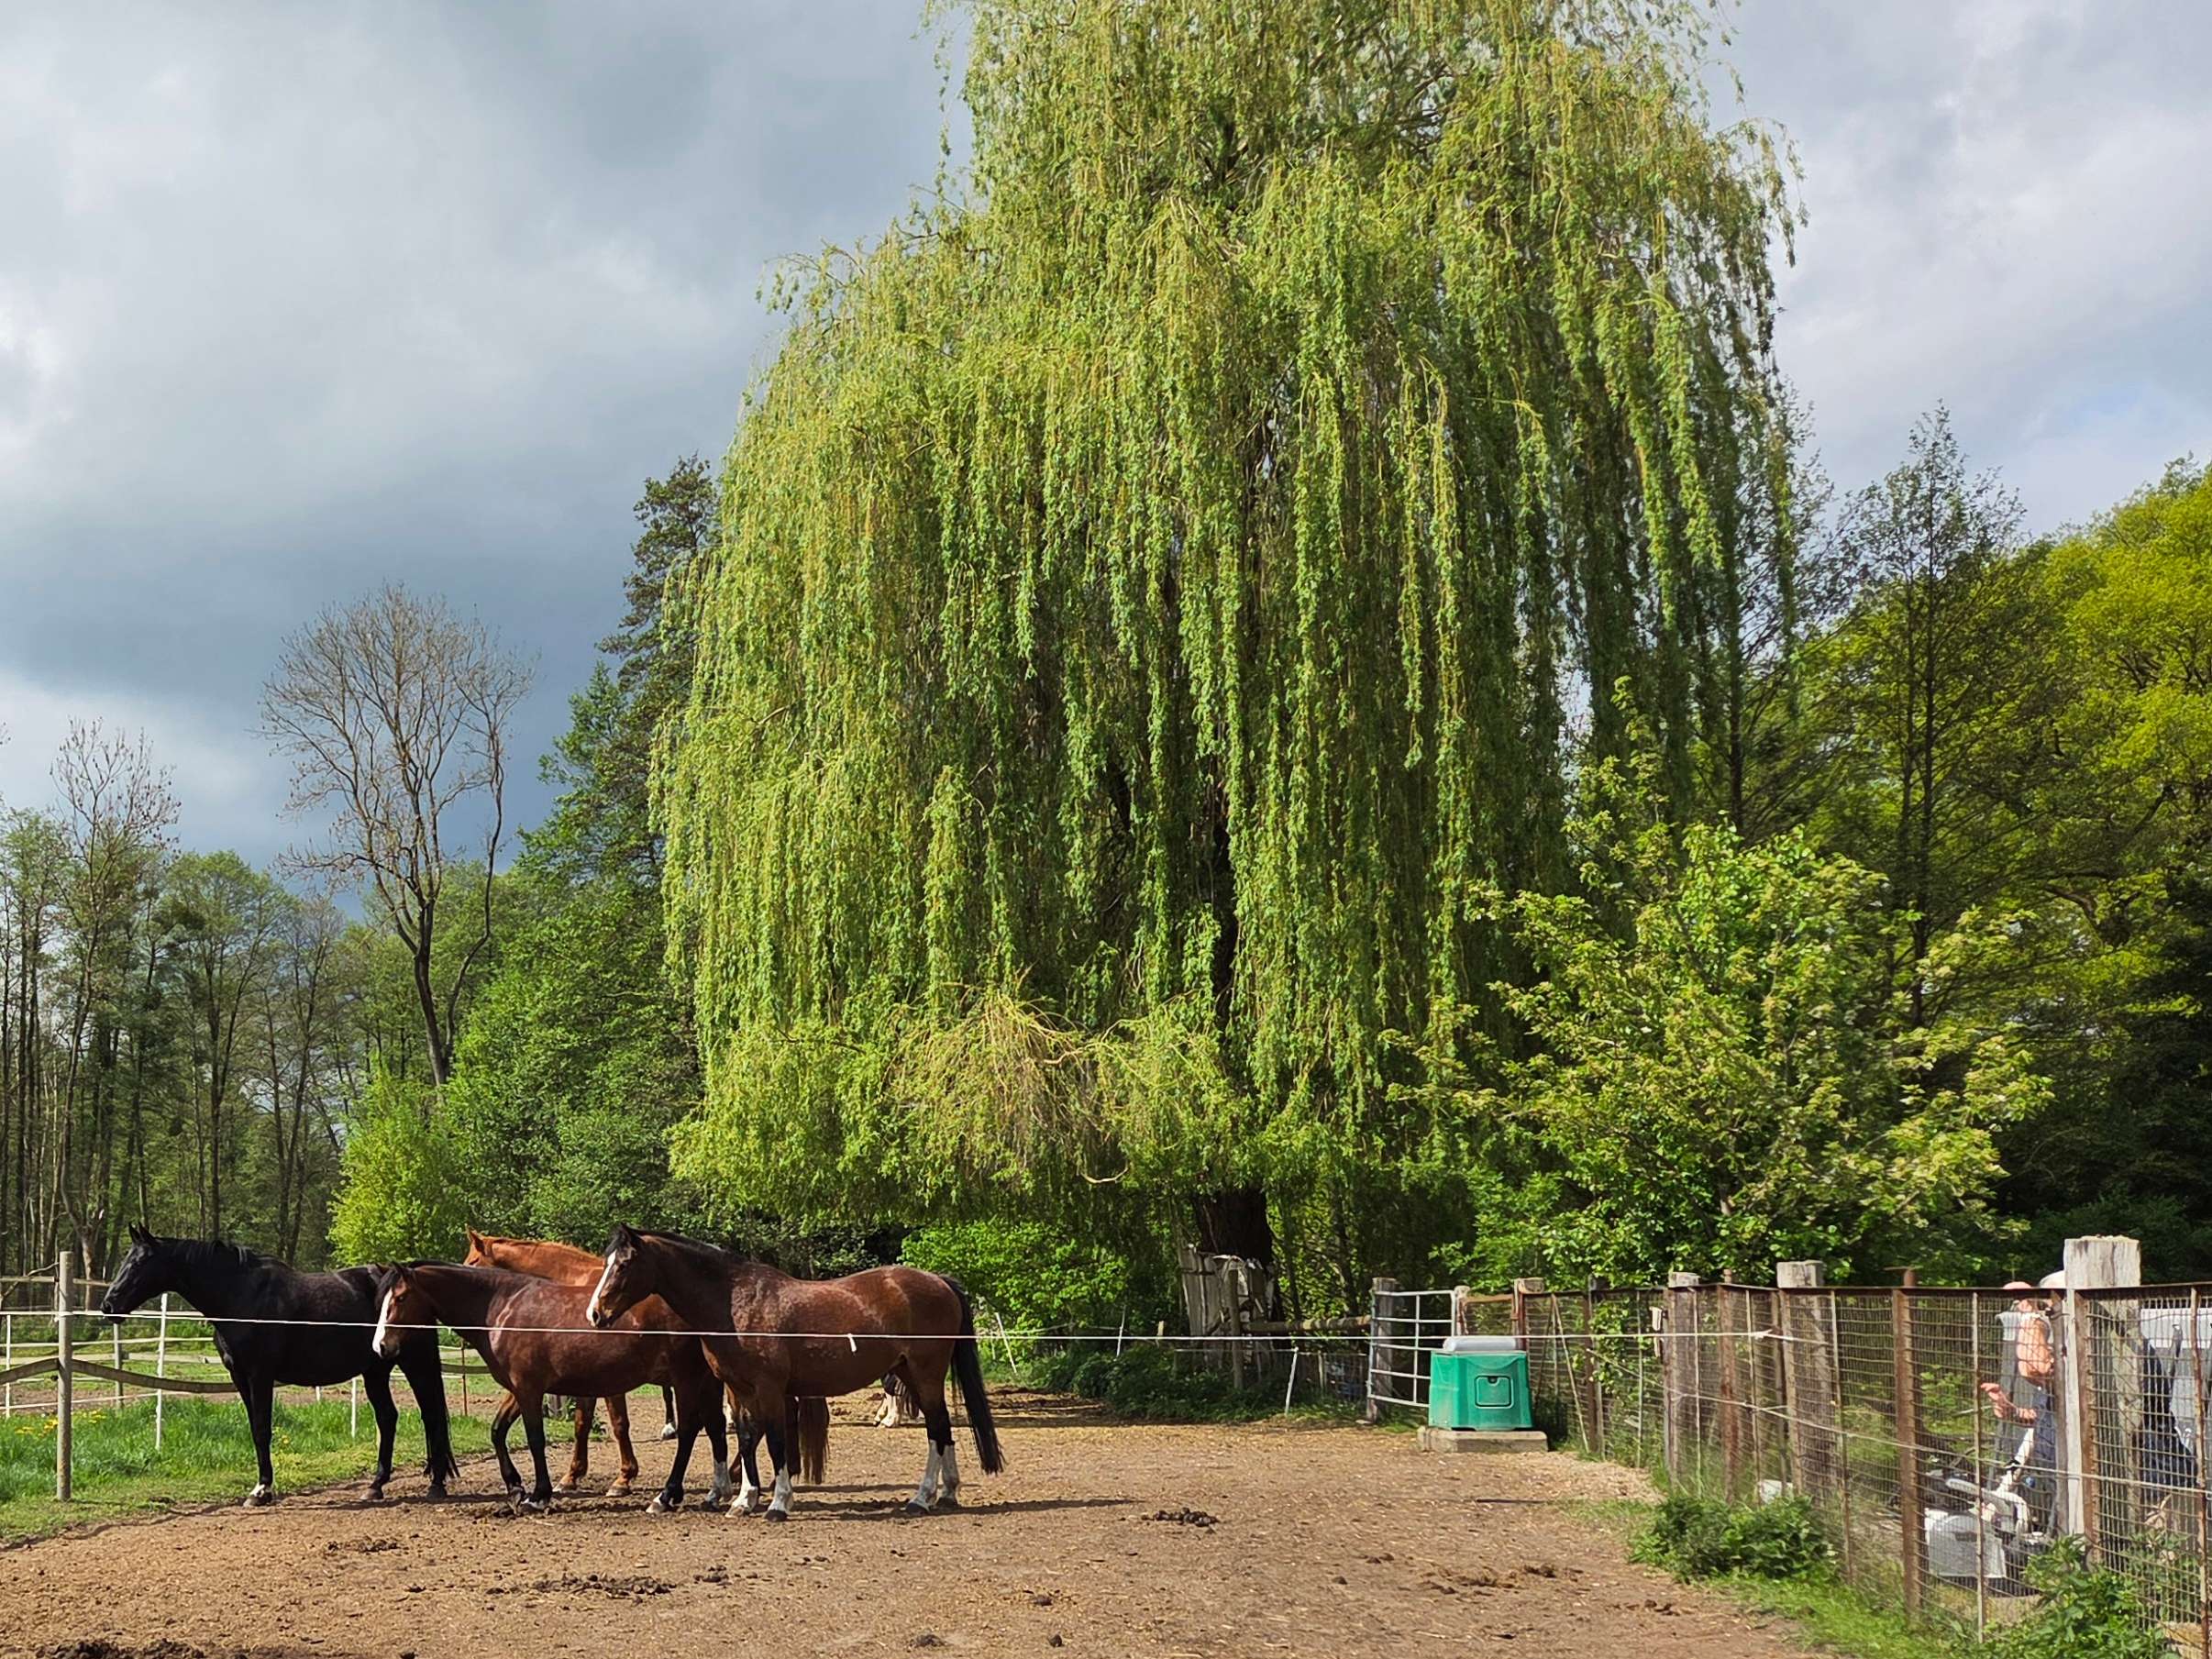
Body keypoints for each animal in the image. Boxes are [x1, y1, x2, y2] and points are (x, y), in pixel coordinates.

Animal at [99, 1223, 459, 1506]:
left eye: (141, 1262)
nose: (108, 1305)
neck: (241, 1296)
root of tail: (408, 1278)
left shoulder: (260, 1375)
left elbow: (262, 1428)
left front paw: (262, 1491)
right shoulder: (240, 1377)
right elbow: (254, 1429)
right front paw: (261, 1486)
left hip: (414, 1362)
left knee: (430, 1415)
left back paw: (435, 1485)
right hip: (376, 1370)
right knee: (388, 1418)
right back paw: (375, 1485)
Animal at [372, 1261, 730, 1514]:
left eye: (400, 1298)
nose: (381, 1346)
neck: (501, 1308)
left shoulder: (529, 1389)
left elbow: (535, 1440)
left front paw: (538, 1494)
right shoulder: (518, 1390)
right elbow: (497, 1431)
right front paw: (515, 1487)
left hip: (685, 1380)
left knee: (688, 1432)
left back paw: (666, 1495)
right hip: (706, 1382)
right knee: (715, 1427)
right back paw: (717, 1491)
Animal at [461, 1227, 827, 1496]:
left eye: (471, 1262)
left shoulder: (605, 1381)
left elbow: (618, 1424)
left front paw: (623, 1478)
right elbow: (581, 1423)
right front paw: (573, 1475)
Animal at [585, 1225, 1003, 1519]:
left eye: (624, 1264)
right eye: (607, 1262)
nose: (595, 1314)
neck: (735, 1304)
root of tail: (940, 1281)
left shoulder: (769, 1389)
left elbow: (774, 1441)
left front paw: (777, 1504)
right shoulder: (739, 1390)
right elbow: (747, 1439)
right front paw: (744, 1500)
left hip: (925, 1375)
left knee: (936, 1429)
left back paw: (921, 1497)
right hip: (912, 1377)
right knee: (943, 1428)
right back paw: (946, 1493)